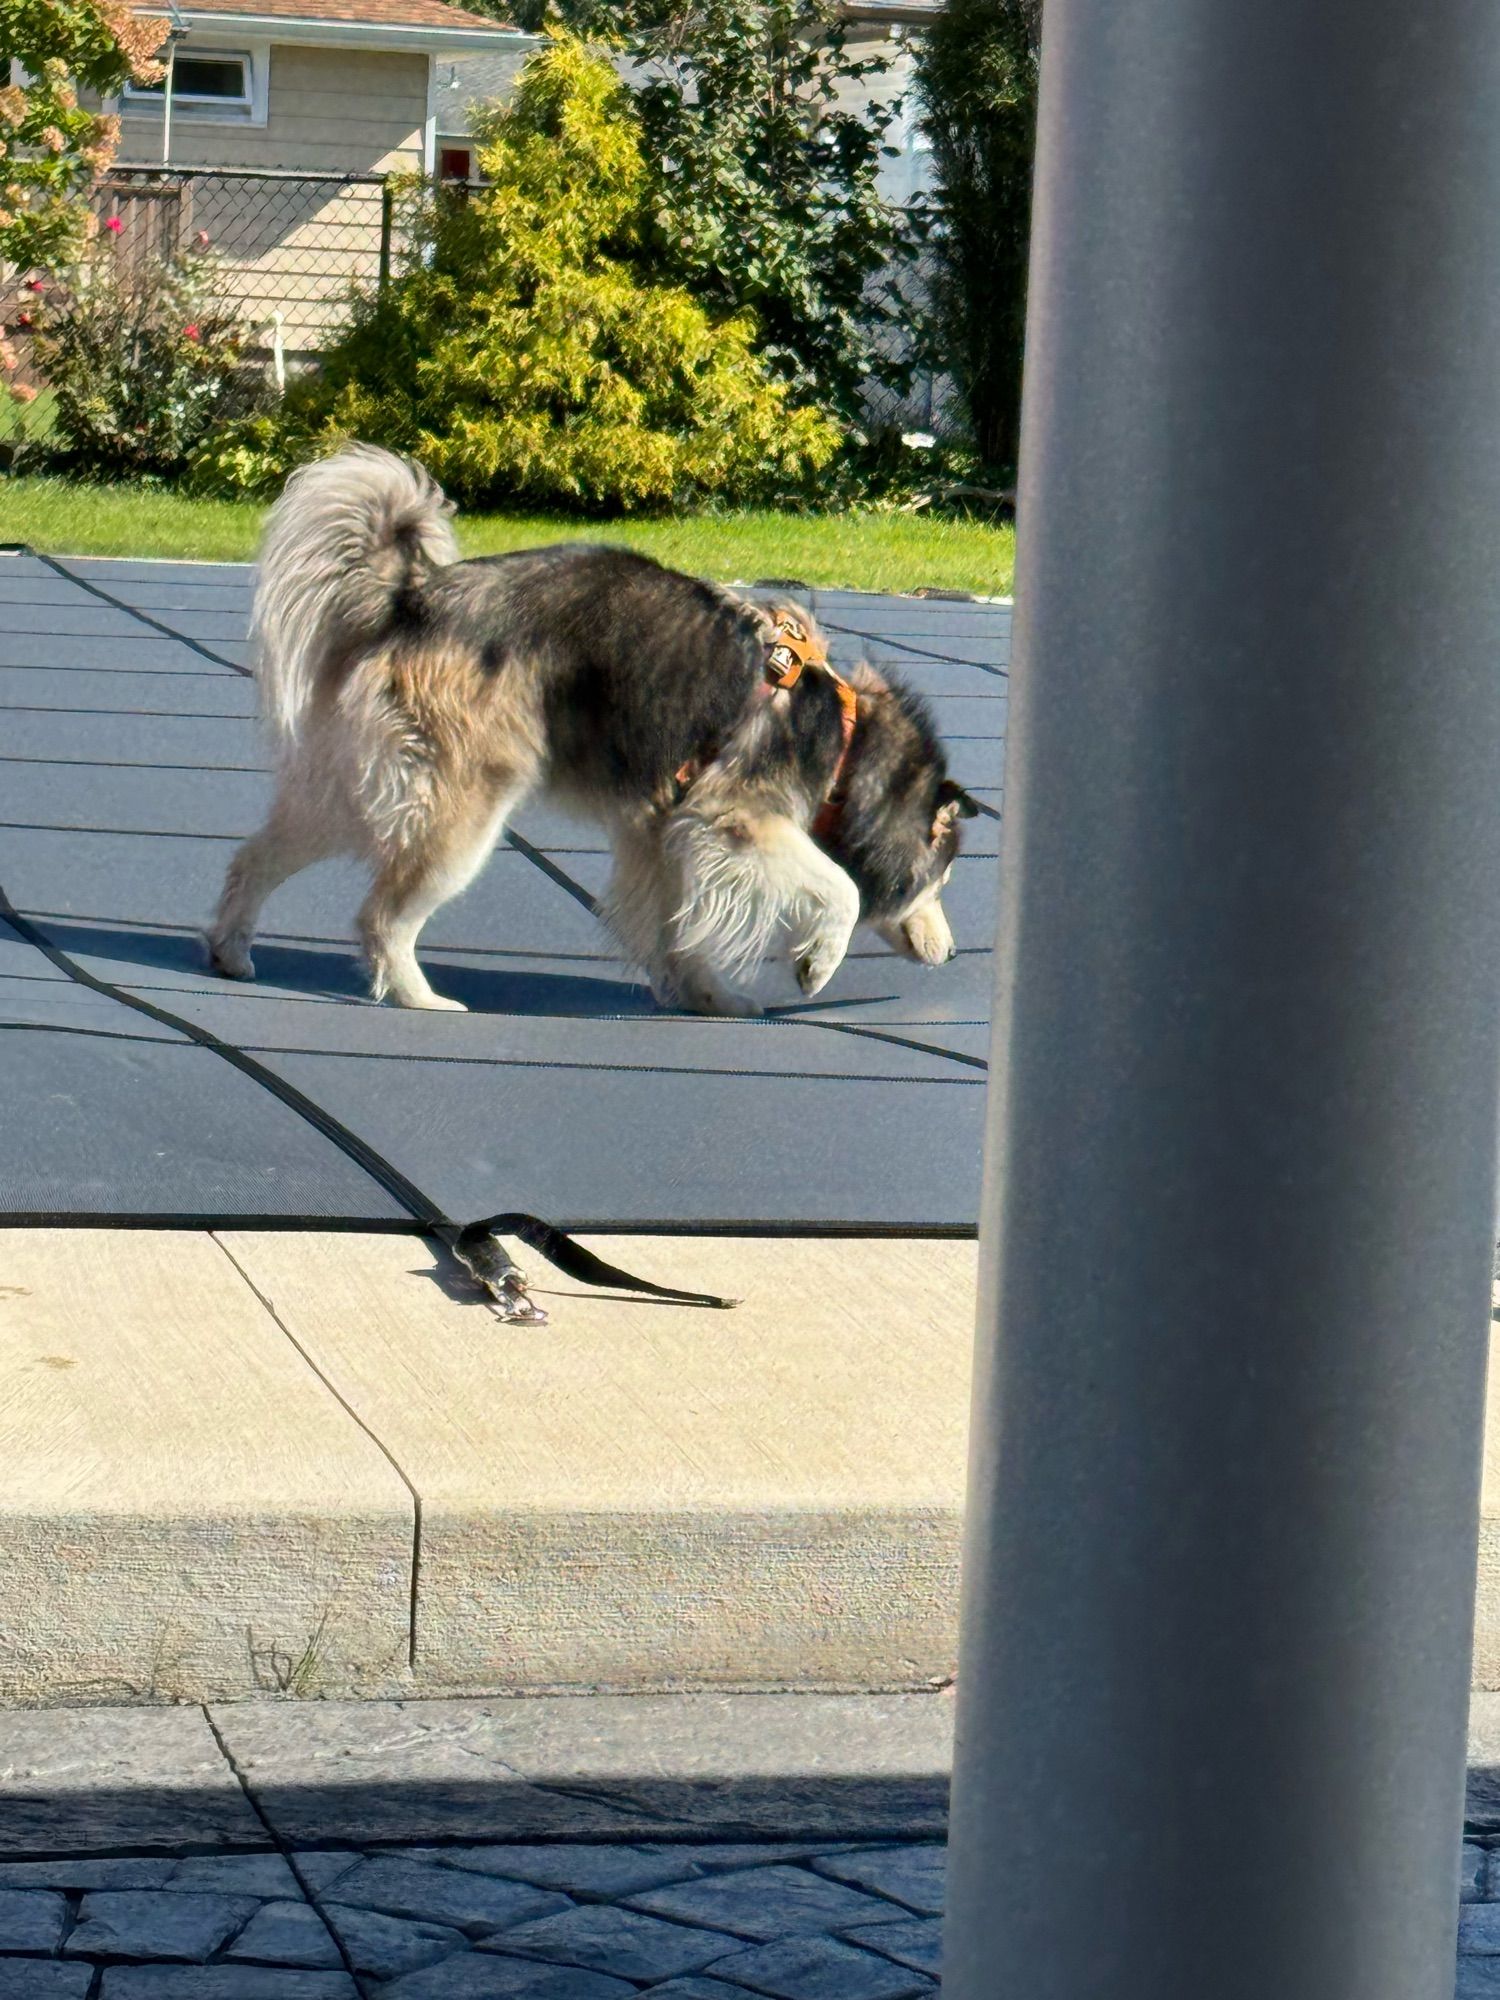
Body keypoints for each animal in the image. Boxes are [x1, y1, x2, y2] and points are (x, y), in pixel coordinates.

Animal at [209, 454, 988, 1016]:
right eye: (941, 881)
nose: (953, 954)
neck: (849, 741)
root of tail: (416, 596)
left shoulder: (666, 836)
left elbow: (678, 930)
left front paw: (707, 997)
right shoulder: (734, 820)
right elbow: (839, 887)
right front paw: (817, 963)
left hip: (356, 788)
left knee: (255, 857)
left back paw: (230, 950)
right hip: (461, 812)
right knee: (382, 916)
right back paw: (418, 996)